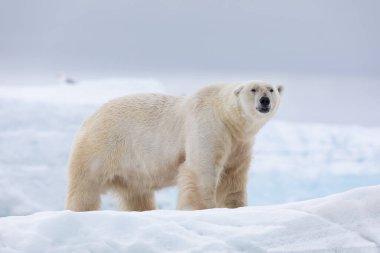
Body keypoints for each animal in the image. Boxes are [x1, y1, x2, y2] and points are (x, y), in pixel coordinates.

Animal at [65, 81, 282, 211]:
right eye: (253, 89)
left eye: (271, 89)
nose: (265, 101)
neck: (226, 116)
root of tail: (88, 119)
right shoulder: (209, 126)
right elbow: (201, 170)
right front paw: (202, 209)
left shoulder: (239, 143)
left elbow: (232, 176)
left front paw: (235, 207)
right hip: (101, 148)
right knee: (86, 186)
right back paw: (79, 209)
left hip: (130, 169)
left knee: (137, 194)